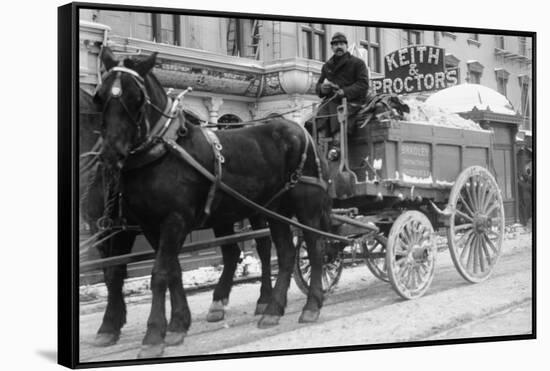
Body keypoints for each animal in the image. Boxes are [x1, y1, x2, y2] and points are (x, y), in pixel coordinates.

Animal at [78, 86, 276, 348]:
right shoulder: (103, 229)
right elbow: (115, 273)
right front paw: (114, 325)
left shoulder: (124, 230)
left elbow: (118, 272)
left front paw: (112, 323)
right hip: (223, 213)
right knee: (232, 252)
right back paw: (218, 303)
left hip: (257, 208)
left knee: (263, 245)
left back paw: (264, 298)